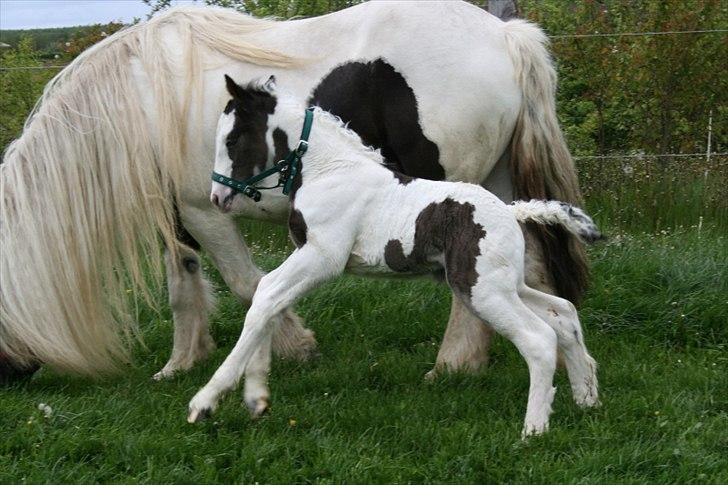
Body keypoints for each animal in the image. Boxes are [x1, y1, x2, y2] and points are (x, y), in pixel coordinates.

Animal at [0, 2, 584, 382]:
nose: (13, 373)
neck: (142, 98)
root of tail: (506, 36)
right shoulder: (177, 213)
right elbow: (182, 284)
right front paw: (181, 363)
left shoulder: (203, 208)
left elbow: (246, 283)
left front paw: (291, 347)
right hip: (497, 191)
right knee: (528, 264)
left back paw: (453, 364)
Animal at [189, 77, 604, 436]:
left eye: (233, 138)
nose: (217, 197)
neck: (330, 170)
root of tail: (511, 211)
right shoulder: (308, 257)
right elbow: (269, 301)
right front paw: (256, 398)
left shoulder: (322, 257)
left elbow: (266, 297)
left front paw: (206, 401)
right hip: (502, 284)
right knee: (564, 314)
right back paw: (587, 399)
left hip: (483, 291)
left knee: (539, 338)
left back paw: (534, 428)